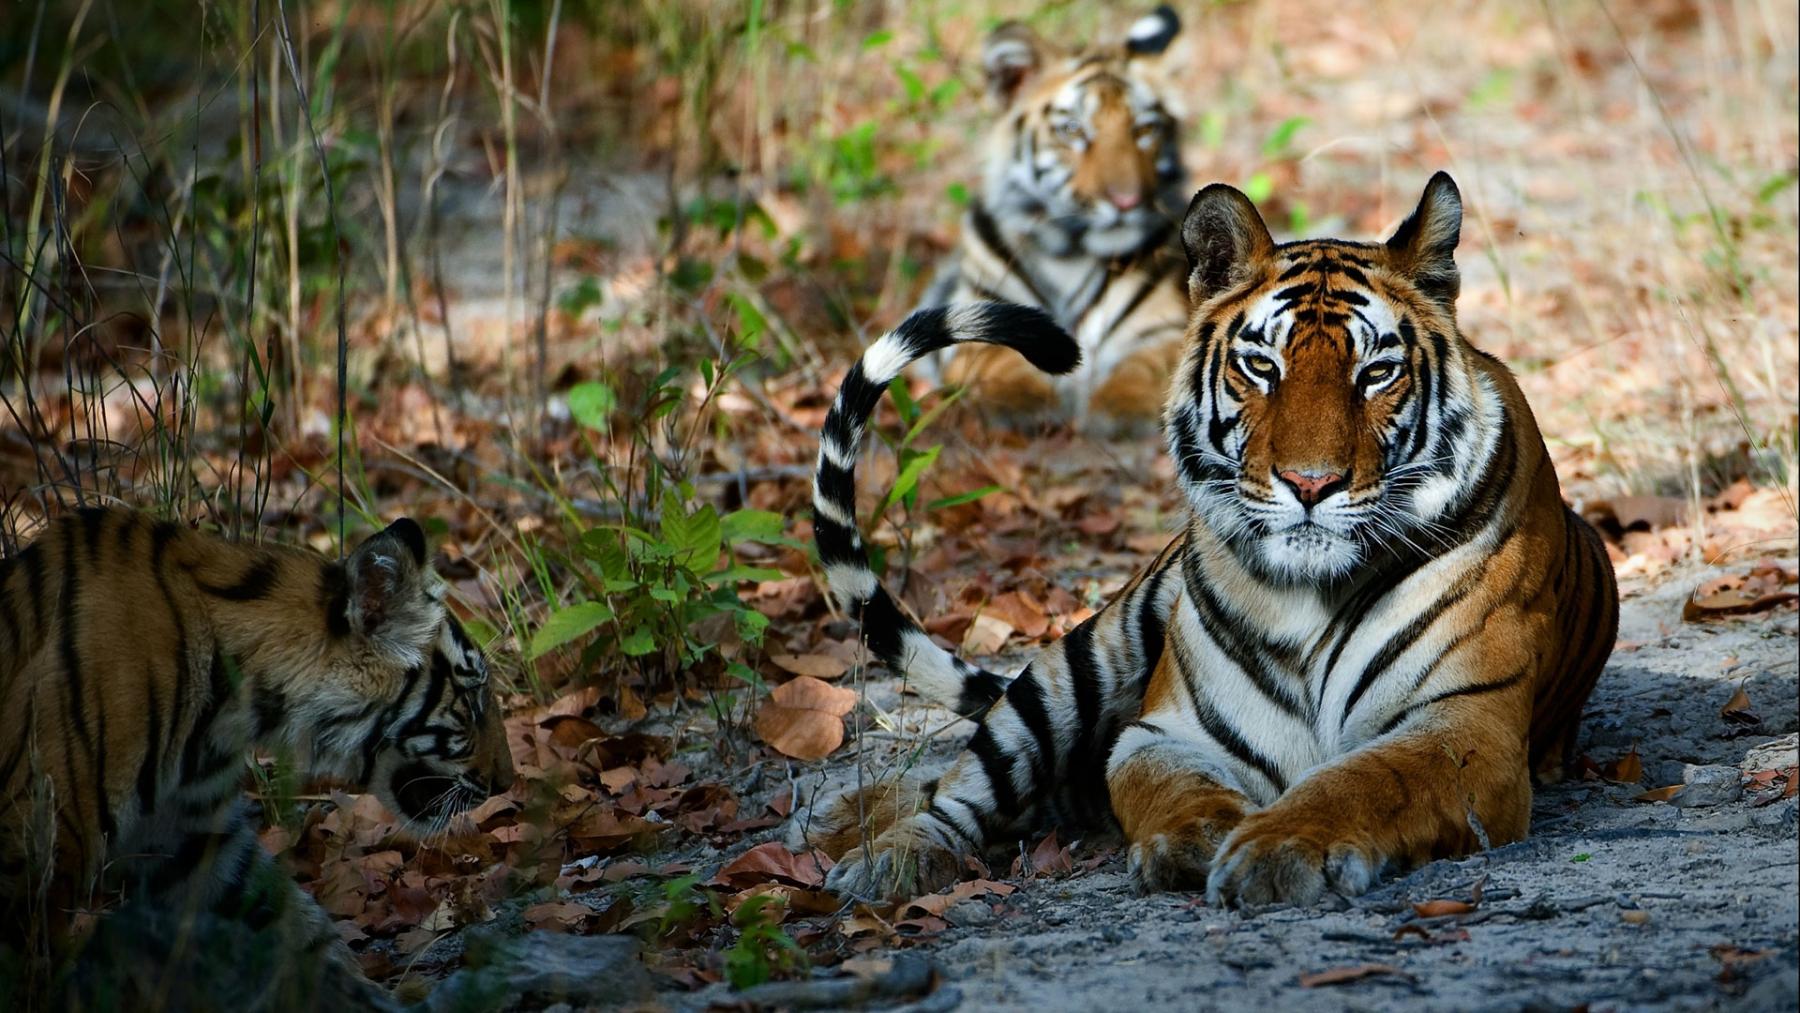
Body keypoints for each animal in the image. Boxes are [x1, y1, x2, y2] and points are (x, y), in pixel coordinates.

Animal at [799, 170, 1620, 906]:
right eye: (1262, 366)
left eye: (1376, 373)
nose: (1311, 484)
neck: (1310, 599)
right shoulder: (1167, 733)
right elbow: (1172, 788)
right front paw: (1197, 840)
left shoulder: (1464, 726)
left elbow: (1359, 780)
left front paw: (1276, 849)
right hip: (1077, 663)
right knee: (961, 787)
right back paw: (877, 853)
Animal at [928, 3, 1195, 433]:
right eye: (1073, 131)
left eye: (1145, 130)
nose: (1127, 201)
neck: (1069, 253)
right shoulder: (974, 315)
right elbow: (994, 357)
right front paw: (1021, 399)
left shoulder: (1163, 328)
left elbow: (1151, 364)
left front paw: (1122, 407)